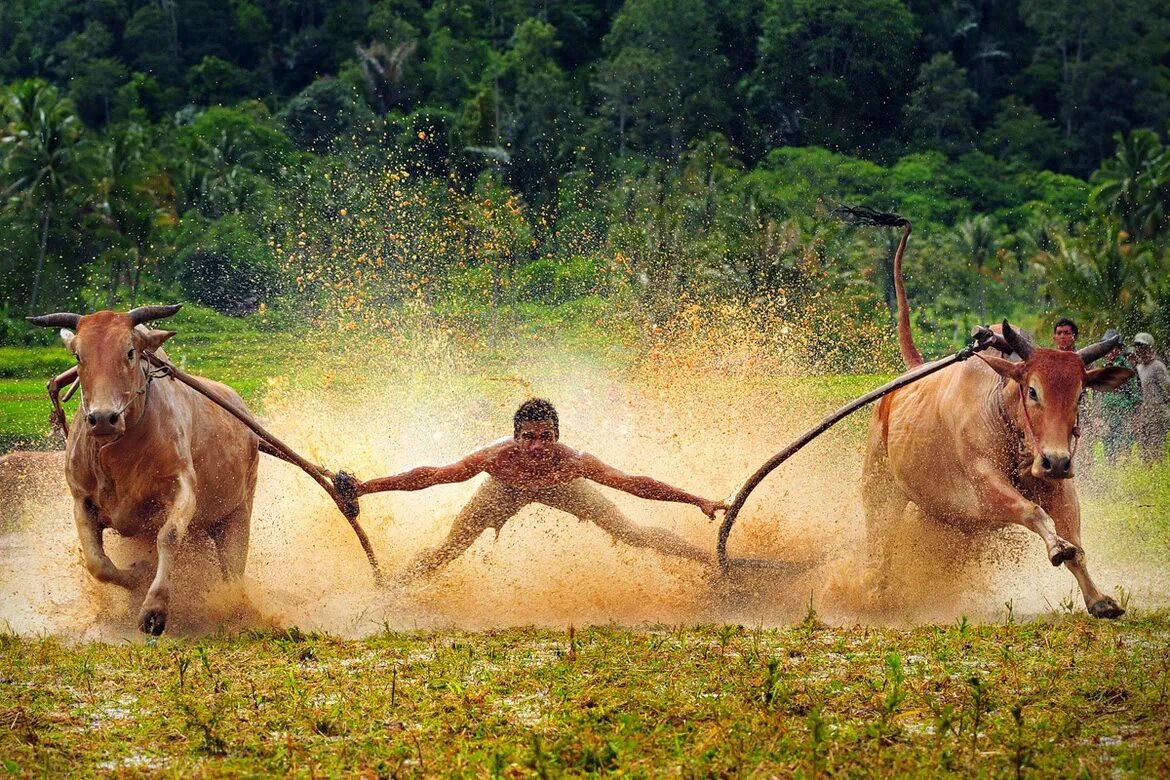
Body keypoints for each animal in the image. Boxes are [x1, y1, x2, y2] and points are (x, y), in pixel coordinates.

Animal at [27, 304, 258, 636]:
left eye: (130, 352)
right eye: (78, 356)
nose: (103, 418)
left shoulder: (183, 485)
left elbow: (169, 536)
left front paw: (154, 608)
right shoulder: (81, 499)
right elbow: (97, 563)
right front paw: (137, 575)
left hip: (238, 514)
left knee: (233, 569)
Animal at [861, 216, 1132, 617]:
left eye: (1081, 394)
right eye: (1032, 391)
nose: (1055, 461)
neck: (1005, 415)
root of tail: (906, 378)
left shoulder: (1061, 486)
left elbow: (1077, 547)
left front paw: (1099, 600)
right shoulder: (986, 489)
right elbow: (1035, 514)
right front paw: (1057, 547)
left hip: (936, 510)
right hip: (879, 491)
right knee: (879, 545)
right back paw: (876, 594)